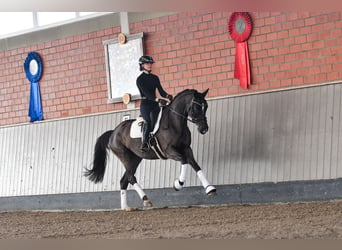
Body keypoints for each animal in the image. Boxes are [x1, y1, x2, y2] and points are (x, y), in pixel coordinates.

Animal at [84, 89, 215, 210]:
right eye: (196, 108)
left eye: (206, 107)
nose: (204, 129)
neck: (175, 123)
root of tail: (113, 132)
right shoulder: (169, 151)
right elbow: (184, 161)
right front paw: (178, 184)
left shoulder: (187, 149)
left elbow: (195, 165)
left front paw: (210, 189)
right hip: (125, 156)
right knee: (130, 177)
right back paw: (145, 199)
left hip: (135, 159)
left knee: (124, 180)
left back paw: (126, 207)